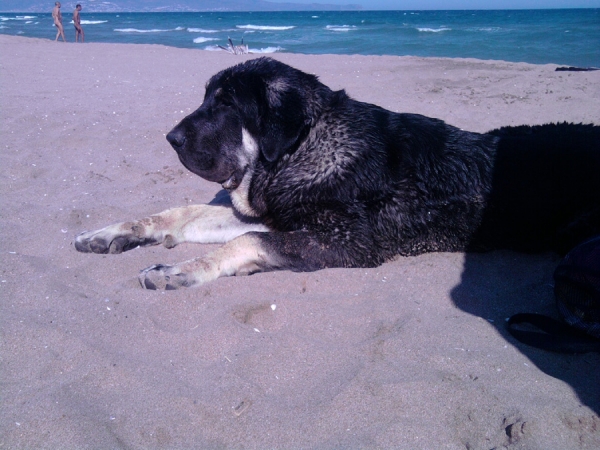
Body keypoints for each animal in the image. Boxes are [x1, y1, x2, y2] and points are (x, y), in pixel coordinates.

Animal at [75, 57, 600, 288]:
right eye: (207, 98)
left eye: (224, 105)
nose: (171, 138)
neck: (300, 151)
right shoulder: (273, 214)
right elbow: (180, 213)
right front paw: (115, 233)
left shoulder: (347, 240)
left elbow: (244, 241)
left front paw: (182, 269)